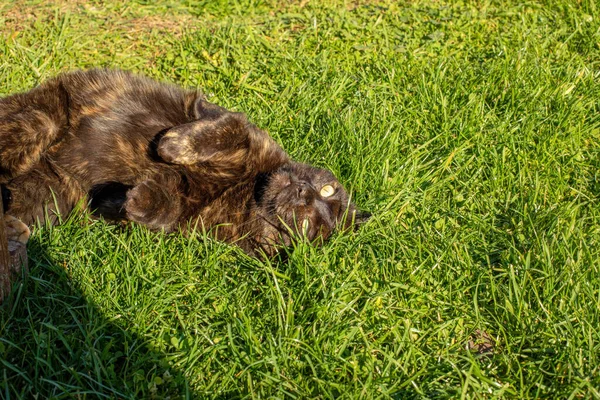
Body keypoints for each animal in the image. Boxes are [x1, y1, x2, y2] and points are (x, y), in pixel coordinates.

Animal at [0, 69, 368, 255]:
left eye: (306, 228)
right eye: (327, 190)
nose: (303, 193)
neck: (247, 189)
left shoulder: (189, 215)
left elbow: (166, 207)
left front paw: (139, 199)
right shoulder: (226, 118)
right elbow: (228, 130)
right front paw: (171, 146)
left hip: (46, 196)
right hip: (39, 121)